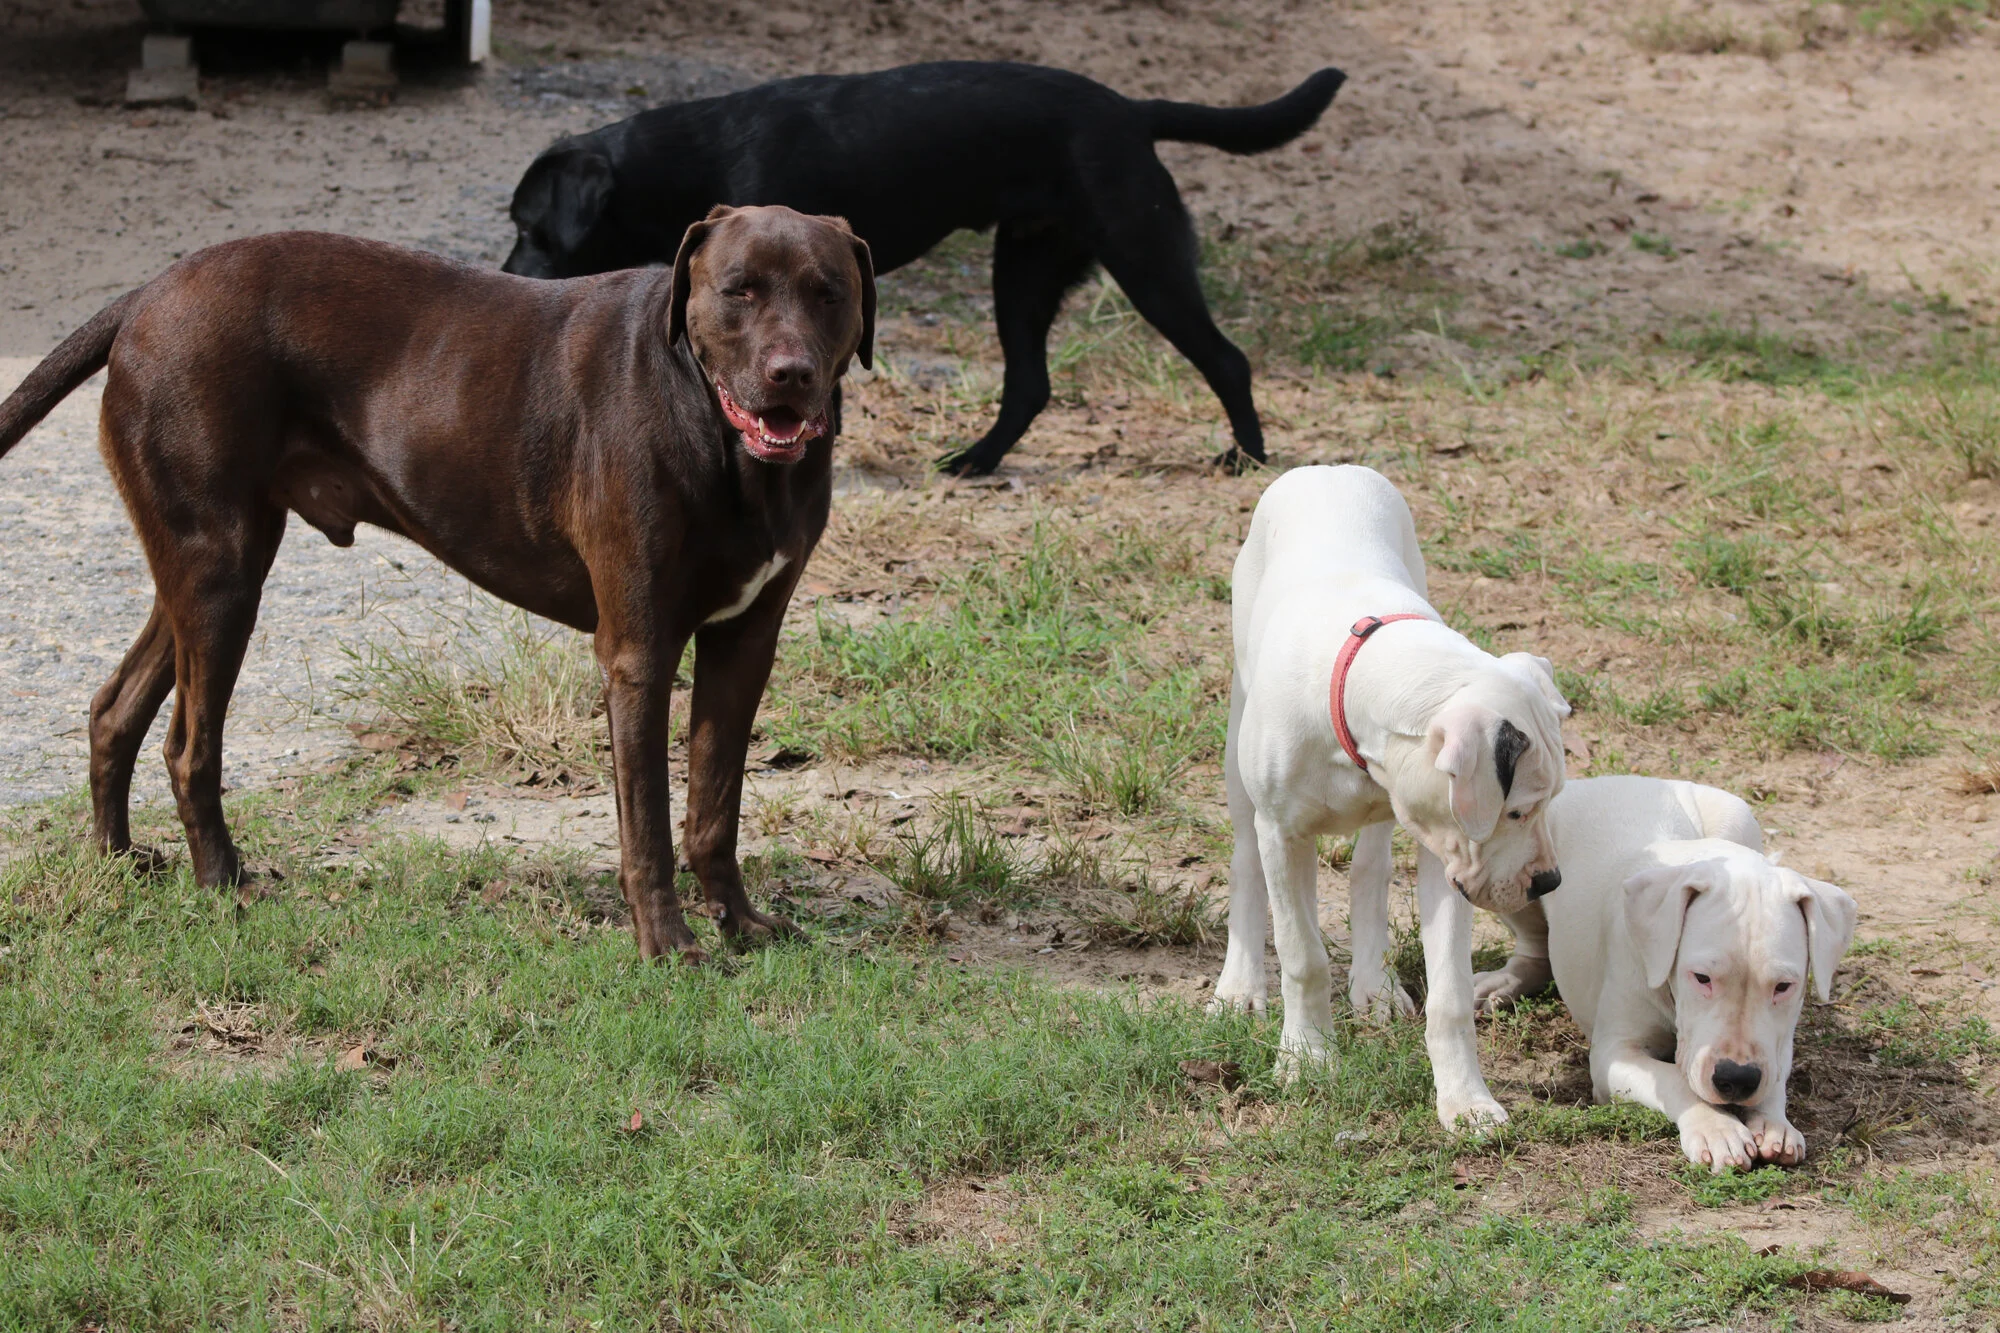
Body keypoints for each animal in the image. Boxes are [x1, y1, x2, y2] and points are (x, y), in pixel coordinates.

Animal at [0, 204, 874, 965]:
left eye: (829, 293)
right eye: (740, 290)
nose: (790, 374)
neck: (721, 438)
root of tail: (150, 291)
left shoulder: (745, 642)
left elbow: (714, 804)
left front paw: (739, 922)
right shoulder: (639, 650)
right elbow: (650, 824)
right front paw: (667, 944)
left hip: (207, 569)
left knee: (115, 707)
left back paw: (117, 861)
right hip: (220, 573)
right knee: (190, 746)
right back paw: (223, 886)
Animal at [501, 61, 1347, 476]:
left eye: (532, 227)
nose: (505, 274)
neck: (690, 159)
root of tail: (1132, 111)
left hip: (1146, 262)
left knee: (1228, 359)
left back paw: (1246, 460)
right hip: (1024, 272)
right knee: (1030, 384)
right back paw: (975, 460)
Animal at [1212, 465, 1570, 1128]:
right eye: (1515, 810)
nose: (1549, 883)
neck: (1362, 675)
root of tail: (1328, 467)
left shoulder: (1448, 852)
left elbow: (1451, 993)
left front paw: (1466, 1100)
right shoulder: (1284, 834)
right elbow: (1302, 957)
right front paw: (1306, 1059)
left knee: (1370, 870)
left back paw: (1373, 984)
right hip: (1238, 746)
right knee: (1246, 860)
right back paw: (1240, 985)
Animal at [1473, 775, 1858, 1172]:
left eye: (1783, 986)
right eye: (1701, 977)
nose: (1736, 1079)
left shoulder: (1777, 1041)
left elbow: (1775, 1069)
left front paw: (1773, 1123)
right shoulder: (1614, 1054)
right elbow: (1672, 1077)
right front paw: (1716, 1127)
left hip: (1738, 817)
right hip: (1514, 869)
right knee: (1535, 943)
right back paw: (1503, 983)